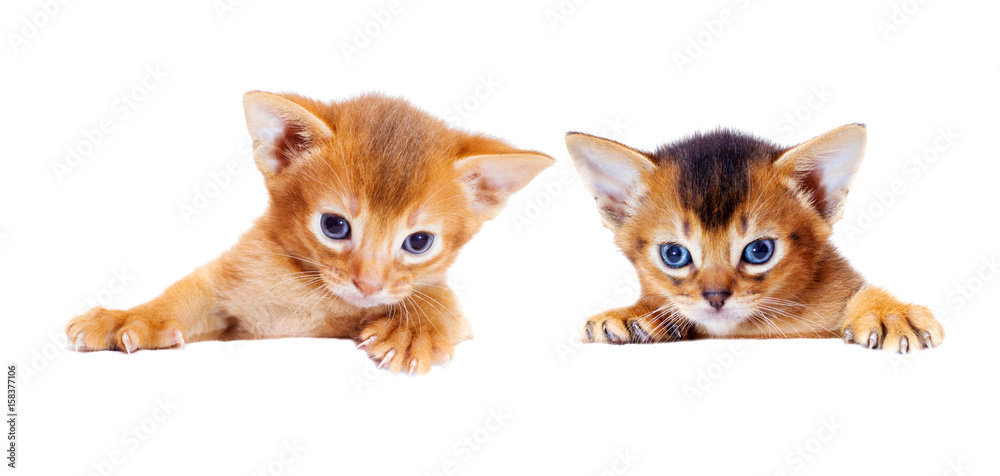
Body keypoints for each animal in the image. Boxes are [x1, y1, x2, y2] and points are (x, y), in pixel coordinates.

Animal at [66, 90, 556, 372]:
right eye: (334, 226)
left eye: (418, 242)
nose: (368, 284)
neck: (310, 295)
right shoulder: (228, 297)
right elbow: (181, 296)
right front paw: (128, 318)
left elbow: (438, 300)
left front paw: (413, 329)